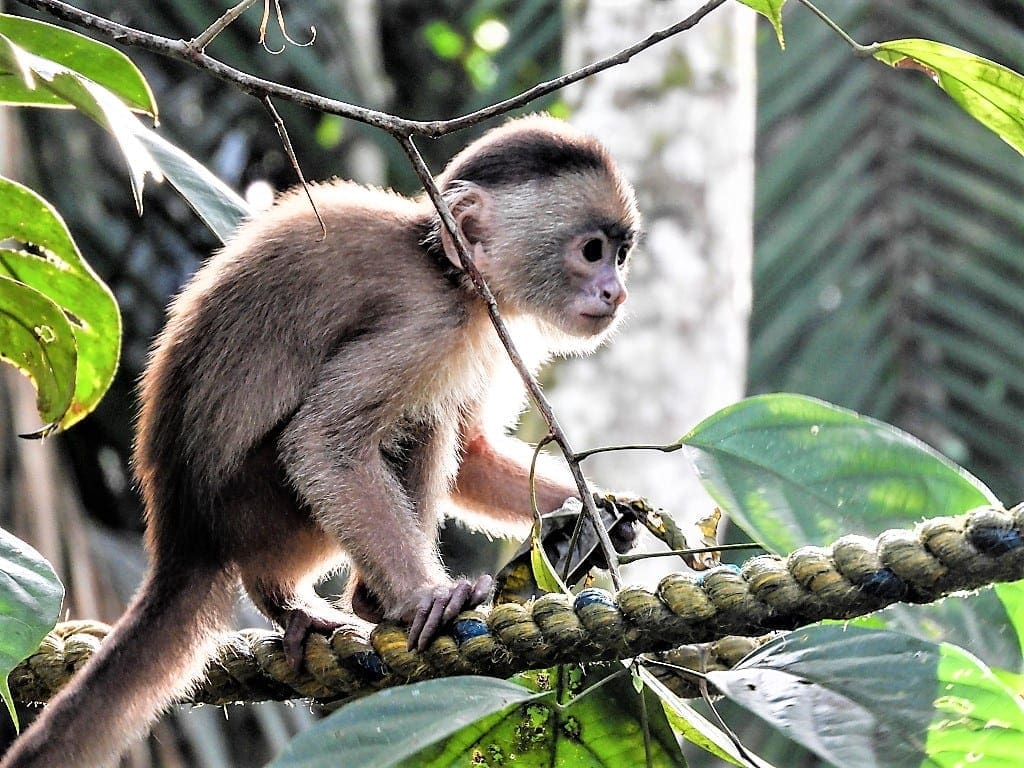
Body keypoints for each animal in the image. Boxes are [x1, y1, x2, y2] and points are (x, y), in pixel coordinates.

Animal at [2, 114, 638, 768]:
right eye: (592, 251)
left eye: (620, 253)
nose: (615, 292)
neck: (448, 269)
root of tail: (184, 536)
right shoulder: (433, 323)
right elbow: (321, 442)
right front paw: (423, 596)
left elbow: (473, 457)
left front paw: (600, 513)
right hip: (259, 508)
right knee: (409, 422)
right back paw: (358, 604)